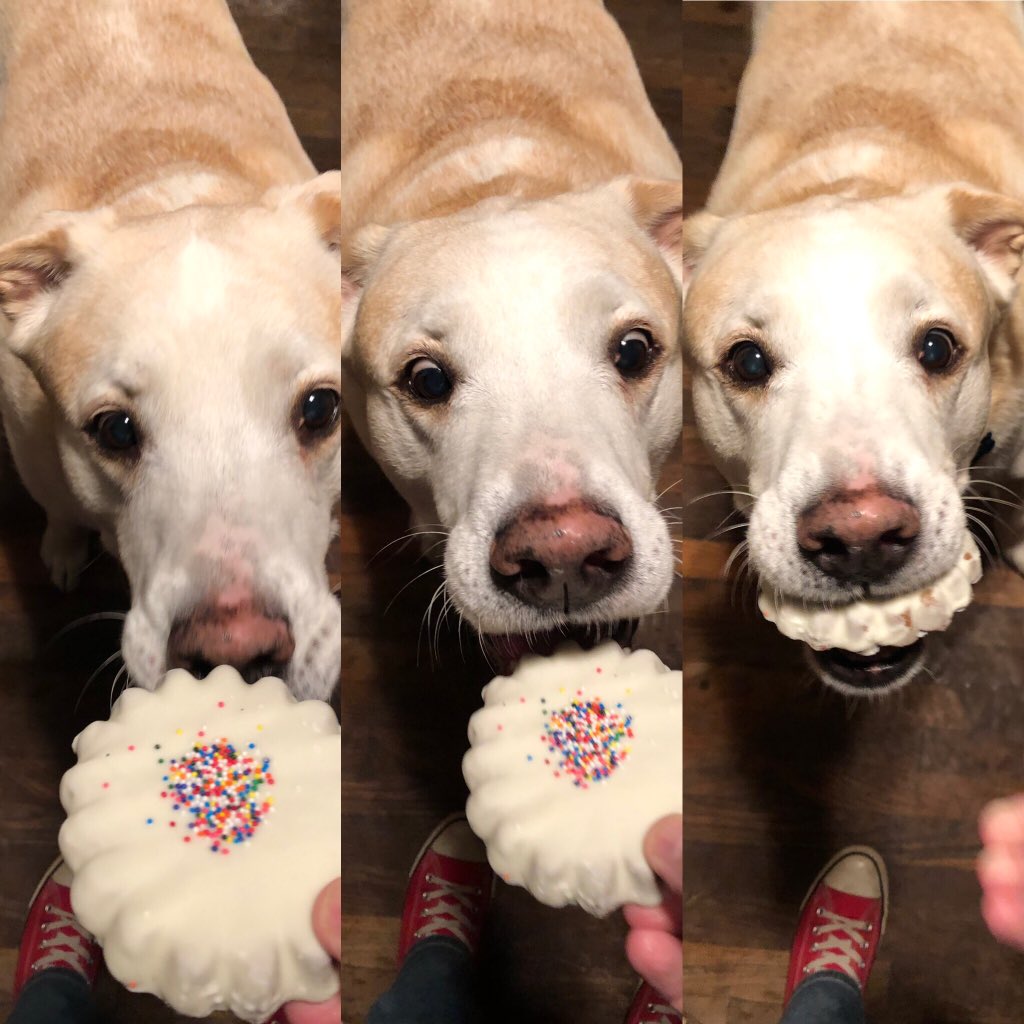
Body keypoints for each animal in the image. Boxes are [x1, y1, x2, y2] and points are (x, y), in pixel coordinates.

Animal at [0, 0, 344, 700]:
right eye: (114, 430)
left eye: (321, 409)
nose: (236, 652)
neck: (170, 182)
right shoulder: (36, 457)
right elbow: (60, 512)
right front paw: (63, 550)